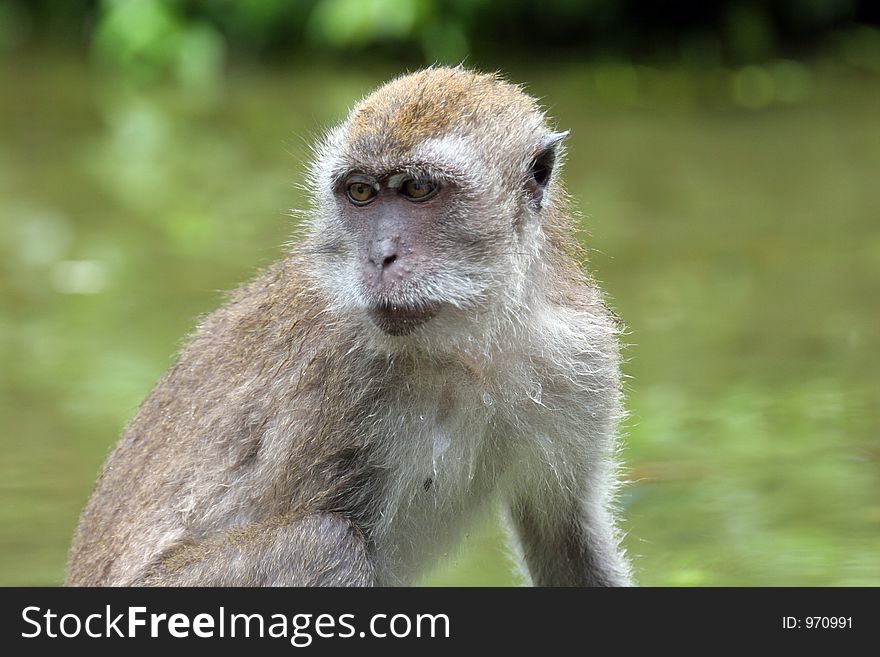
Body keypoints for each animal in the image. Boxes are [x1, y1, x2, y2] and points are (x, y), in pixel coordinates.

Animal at [65, 66, 636, 588]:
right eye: (361, 192)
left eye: (417, 188)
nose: (379, 256)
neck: (472, 343)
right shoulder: (339, 377)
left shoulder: (581, 359)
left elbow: (568, 544)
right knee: (326, 544)